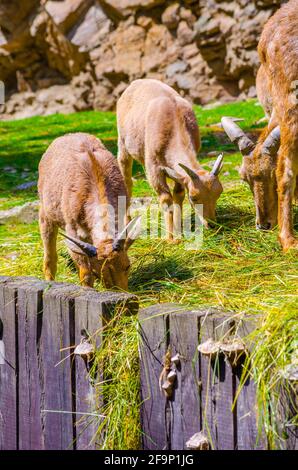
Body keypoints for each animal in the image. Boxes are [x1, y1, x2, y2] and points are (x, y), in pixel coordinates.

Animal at [37, 132, 139, 290]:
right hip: (46, 216)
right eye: (98, 272)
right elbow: (85, 273)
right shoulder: (72, 231)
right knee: (50, 258)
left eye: (127, 266)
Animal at [116, 79, 224, 241]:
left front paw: (179, 231)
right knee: (127, 181)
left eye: (219, 193)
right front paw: (171, 238)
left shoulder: (177, 173)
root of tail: (134, 83)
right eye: (194, 198)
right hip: (123, 145)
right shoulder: (154, 168)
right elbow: (166, 199)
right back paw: (127, 224)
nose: (211, 224)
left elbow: (178, 195)